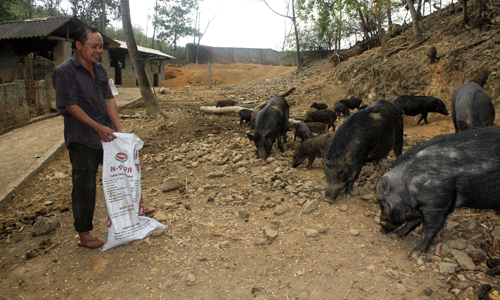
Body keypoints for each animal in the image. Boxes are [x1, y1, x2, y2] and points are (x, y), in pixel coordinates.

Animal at [376, 125, 500, 254]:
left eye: (382, 202)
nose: (381, 229)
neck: (409, 184)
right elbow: (413, 221)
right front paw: (394, 236)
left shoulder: (437, 204)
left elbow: (429, 229)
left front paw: (414, 253)